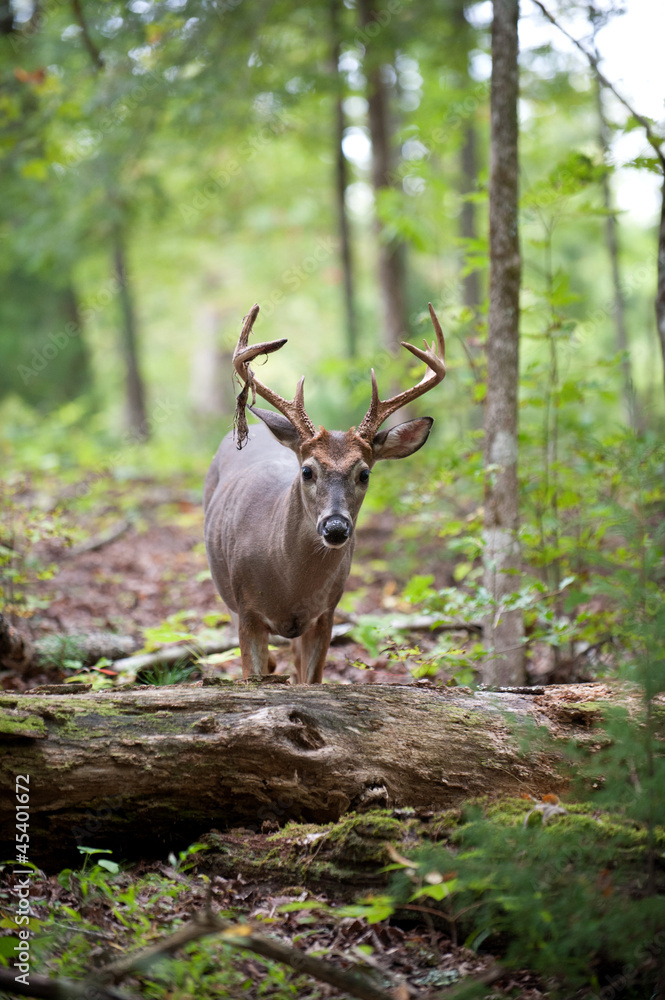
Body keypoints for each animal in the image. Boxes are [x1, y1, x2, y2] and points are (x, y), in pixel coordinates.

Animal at [203, 302, 446, 684]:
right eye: (307, 470)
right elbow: (251, 672)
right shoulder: (247, 610)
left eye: (365, 473)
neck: (290, 583)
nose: (335, 528)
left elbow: (312, 680)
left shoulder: (326, 612)